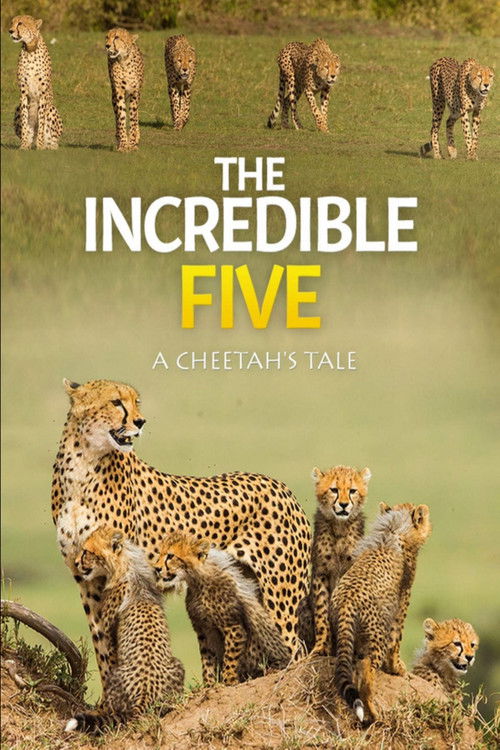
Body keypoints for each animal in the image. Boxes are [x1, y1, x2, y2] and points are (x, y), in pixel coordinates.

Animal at [9, 15, 62, 150]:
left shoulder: (42, 93)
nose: (10, 31)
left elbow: (42, 122)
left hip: (52, 109)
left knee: (53, 141)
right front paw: (23, 145)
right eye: (12, 23)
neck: (30, 49)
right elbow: (24, 120)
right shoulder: (23, 92)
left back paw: (48, 146)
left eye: (20, 23)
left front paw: (40, 145)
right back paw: (29, 143)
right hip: (17, 108)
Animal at [65, 526, 184, 734]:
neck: (126, 566)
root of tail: (145, 692)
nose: (77, 562)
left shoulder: (109, 635)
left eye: (87, 552)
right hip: (177, 666)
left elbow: (108, 661)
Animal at [155, 531, 290, 685]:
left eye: (170, 556)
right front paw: (209, 684)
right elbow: (207, 659)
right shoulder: (203, 630)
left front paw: (229, 680)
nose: (157, 568)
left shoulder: (233, 627)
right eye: (160, 554)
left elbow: (229, 657)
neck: (197, 581)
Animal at [300, 465, 371, 656]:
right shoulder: (321, 573)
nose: (344, 505)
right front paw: (322, 647)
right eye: (334, 490)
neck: (340, 527)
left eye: (352, 491)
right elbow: (321, 612)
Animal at [331, 503, 431, 724]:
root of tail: (347, 600)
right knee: (366, 671)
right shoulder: (401, 602)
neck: (394, 528)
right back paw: (373, 715)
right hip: (377, 637)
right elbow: (396, 638)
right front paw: (397, 668)